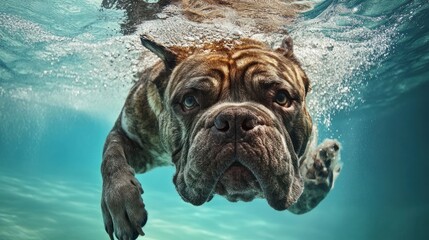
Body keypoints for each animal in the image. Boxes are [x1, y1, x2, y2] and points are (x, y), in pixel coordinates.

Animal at [99, 0, 342, 239]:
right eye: (189, 101)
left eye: (281, 98)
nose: (235, 120)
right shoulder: (129, 134)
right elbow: (111, 159)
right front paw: (120, 203)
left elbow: (301, 201)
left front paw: (321, 171)